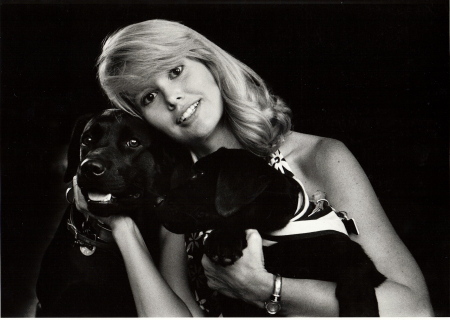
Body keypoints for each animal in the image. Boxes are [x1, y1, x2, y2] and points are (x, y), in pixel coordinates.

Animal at [156, 148, 384, 318]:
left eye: (199, 175)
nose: (157, 202)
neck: (272, 235)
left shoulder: (351, 254)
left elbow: (355, 278)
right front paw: (225, 238)